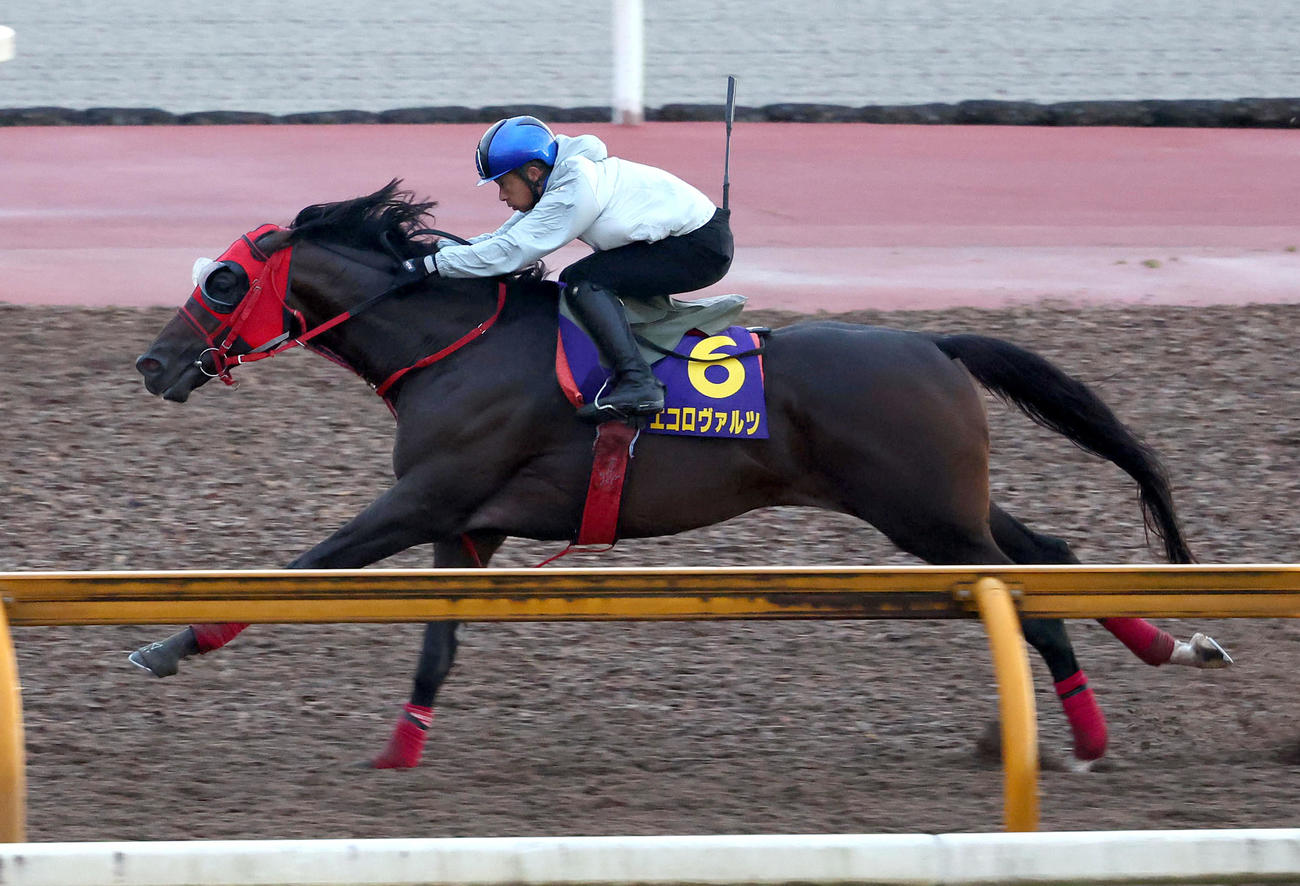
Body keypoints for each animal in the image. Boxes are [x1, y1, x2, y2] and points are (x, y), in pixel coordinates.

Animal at [132, 180, 1230, 770]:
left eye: (222, 281)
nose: (151, 364)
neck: (454, 346)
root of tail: (933, 341)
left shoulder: (424, 499)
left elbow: (302, 567)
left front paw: (166, 645)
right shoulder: (467, 524)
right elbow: (435, 648)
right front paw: (399, 754)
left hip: (923, 516)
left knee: (1026, 590)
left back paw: (1089, 729)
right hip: (940, 503)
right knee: (1051, 551)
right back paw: (1165, 653)